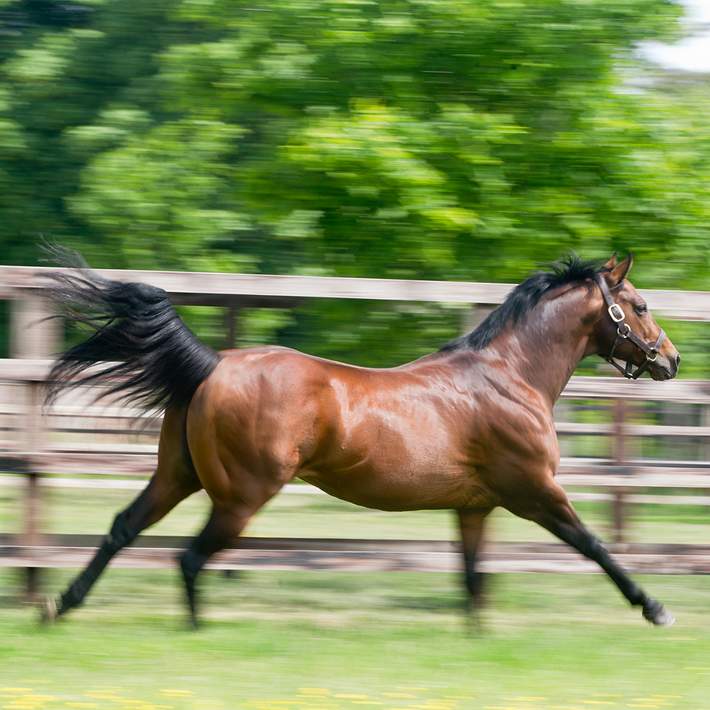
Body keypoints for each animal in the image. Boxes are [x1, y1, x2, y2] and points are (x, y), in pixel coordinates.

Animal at [40, 252, 684, 628]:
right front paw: (654, 608)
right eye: (640, 305)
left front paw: (476, 636)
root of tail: (212, 365)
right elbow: (594, 544)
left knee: (123, 528)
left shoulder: (473, 506)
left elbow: (472, 575)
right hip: (241, 496)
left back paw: (60, 606)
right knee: (191, 558)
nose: (671, 360)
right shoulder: (534, 490)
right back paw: (196, 631)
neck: (509, 376)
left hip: (177, 476)